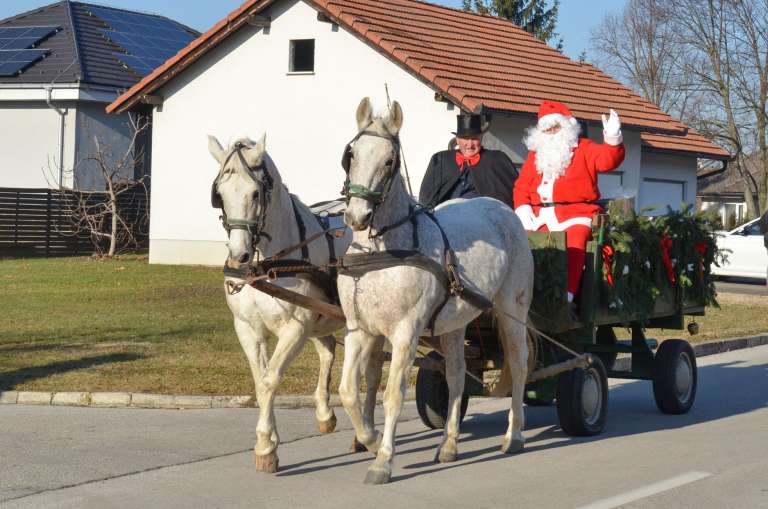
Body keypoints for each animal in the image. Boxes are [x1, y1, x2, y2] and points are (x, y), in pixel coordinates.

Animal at [208, 133, 382, 470]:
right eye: (219, 194)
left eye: (255, 193)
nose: (239, 256)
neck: (267, 264)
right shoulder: (247, 327)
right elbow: (259, 380)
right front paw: (269, 442)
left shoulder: (295, 327)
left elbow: (270, 380)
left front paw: (266, 447)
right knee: (328, 351)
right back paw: (326, 414)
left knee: (372, 371)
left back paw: (363, 432)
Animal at [336, 97, 536, 482]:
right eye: (351, 154)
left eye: (389, 161)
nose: (357, 216)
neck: (382, 253)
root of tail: (503, 210)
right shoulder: (359, 330)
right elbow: (349, 392)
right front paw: (370, 439)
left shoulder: (405, 333)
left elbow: (393, 395)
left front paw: (383, 460)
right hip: (456, 325)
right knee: (457, 375)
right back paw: (448, 445)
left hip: (512, 312)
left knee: (519, 364)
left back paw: (514, 435)